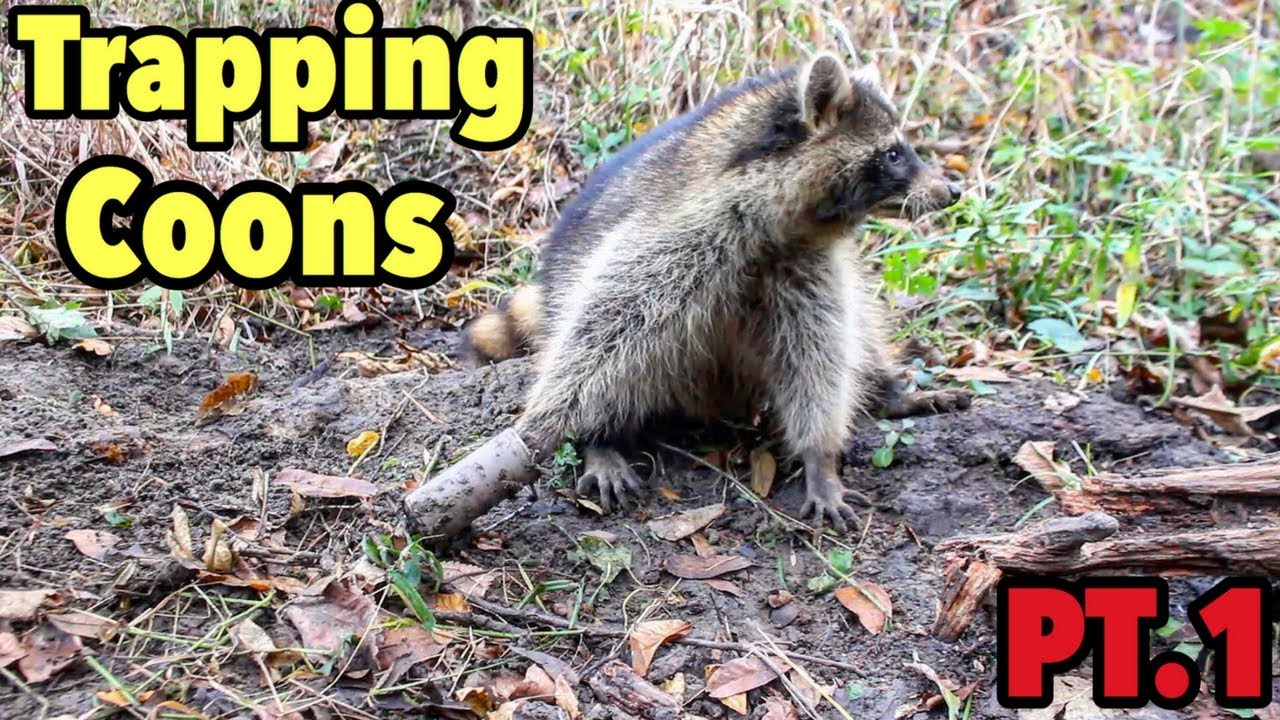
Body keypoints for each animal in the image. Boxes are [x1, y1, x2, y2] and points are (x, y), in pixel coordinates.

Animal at [466, 52, 967, 529]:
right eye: (894, 154)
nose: (953, 190)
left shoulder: (808, 264)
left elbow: (820, 354)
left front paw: (819, 456)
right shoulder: (675, 231)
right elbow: (598, 331)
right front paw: (565, 425)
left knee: (859, 326)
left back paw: (888, 390)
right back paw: (602, 438)